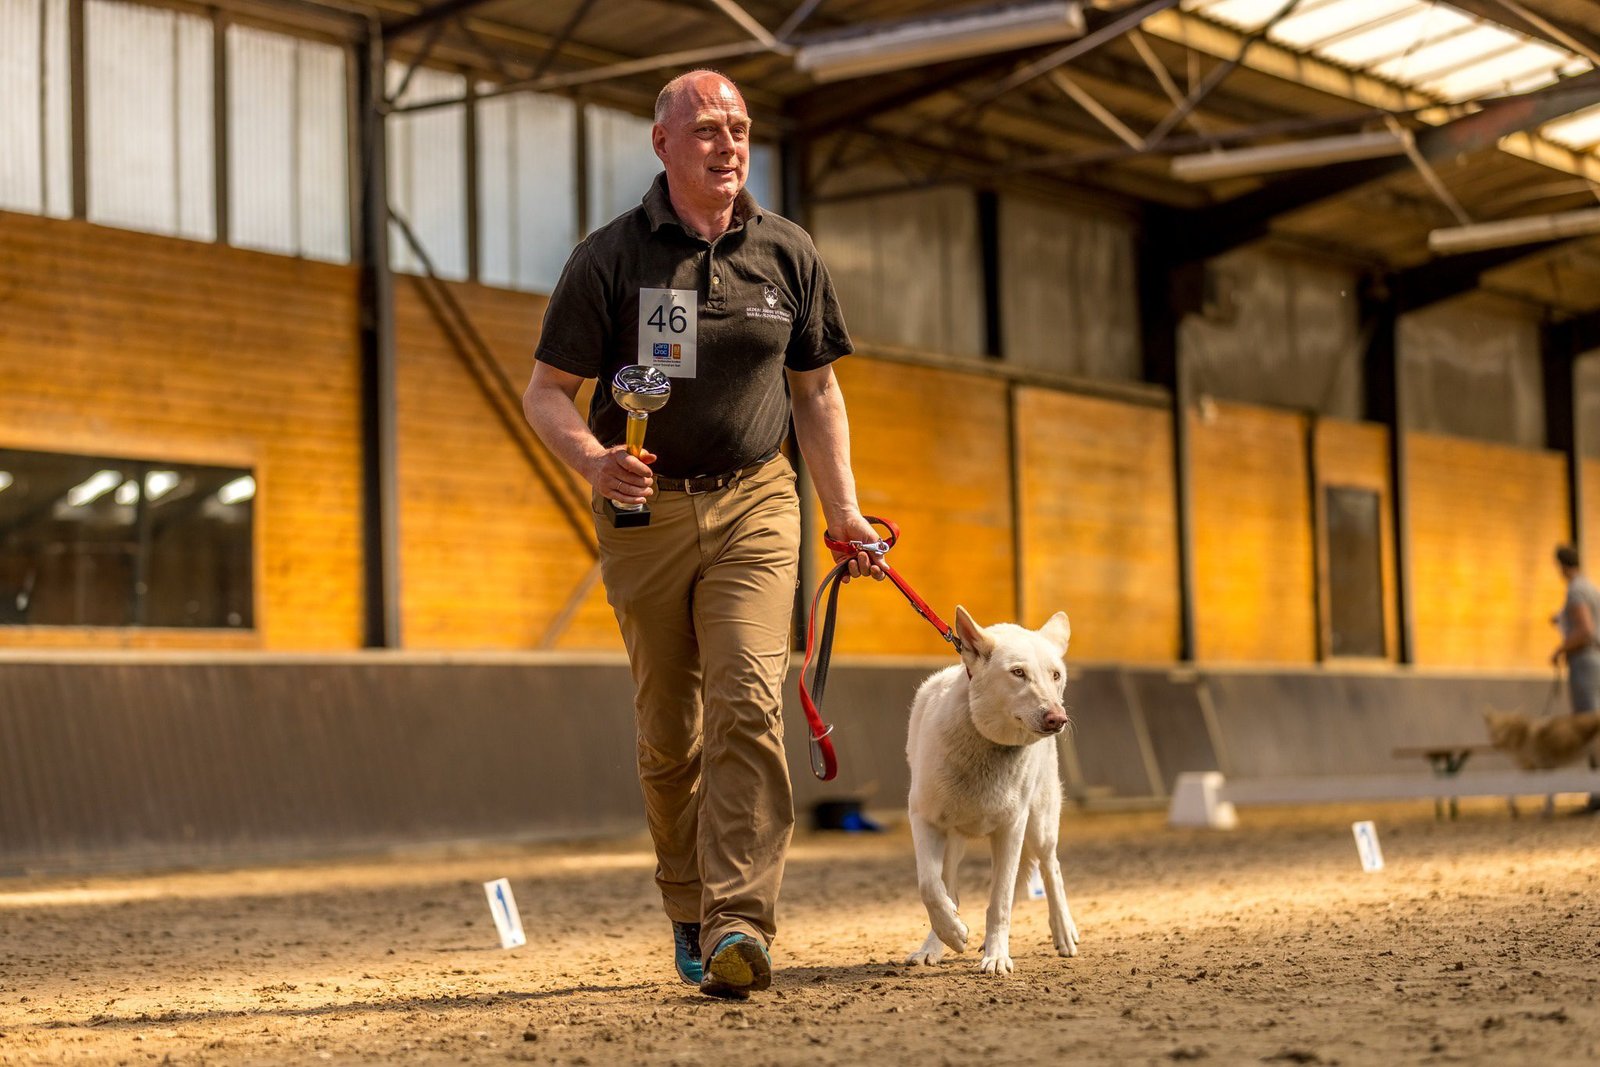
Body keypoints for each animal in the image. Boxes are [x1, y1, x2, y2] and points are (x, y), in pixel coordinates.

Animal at [903, 605, 1078, 975]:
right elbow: (930, 887)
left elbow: (1000, 901)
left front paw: (997, 957)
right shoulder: (925, 820)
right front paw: (952, 934)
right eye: (1018, 673)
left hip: (1039, 827)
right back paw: (936, 944)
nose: (1058, 719)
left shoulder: (1011, 829)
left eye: (1055, 675)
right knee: (948, 887)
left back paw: (1063, 932)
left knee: (1050, 868)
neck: (984, 743)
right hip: (954, 839)